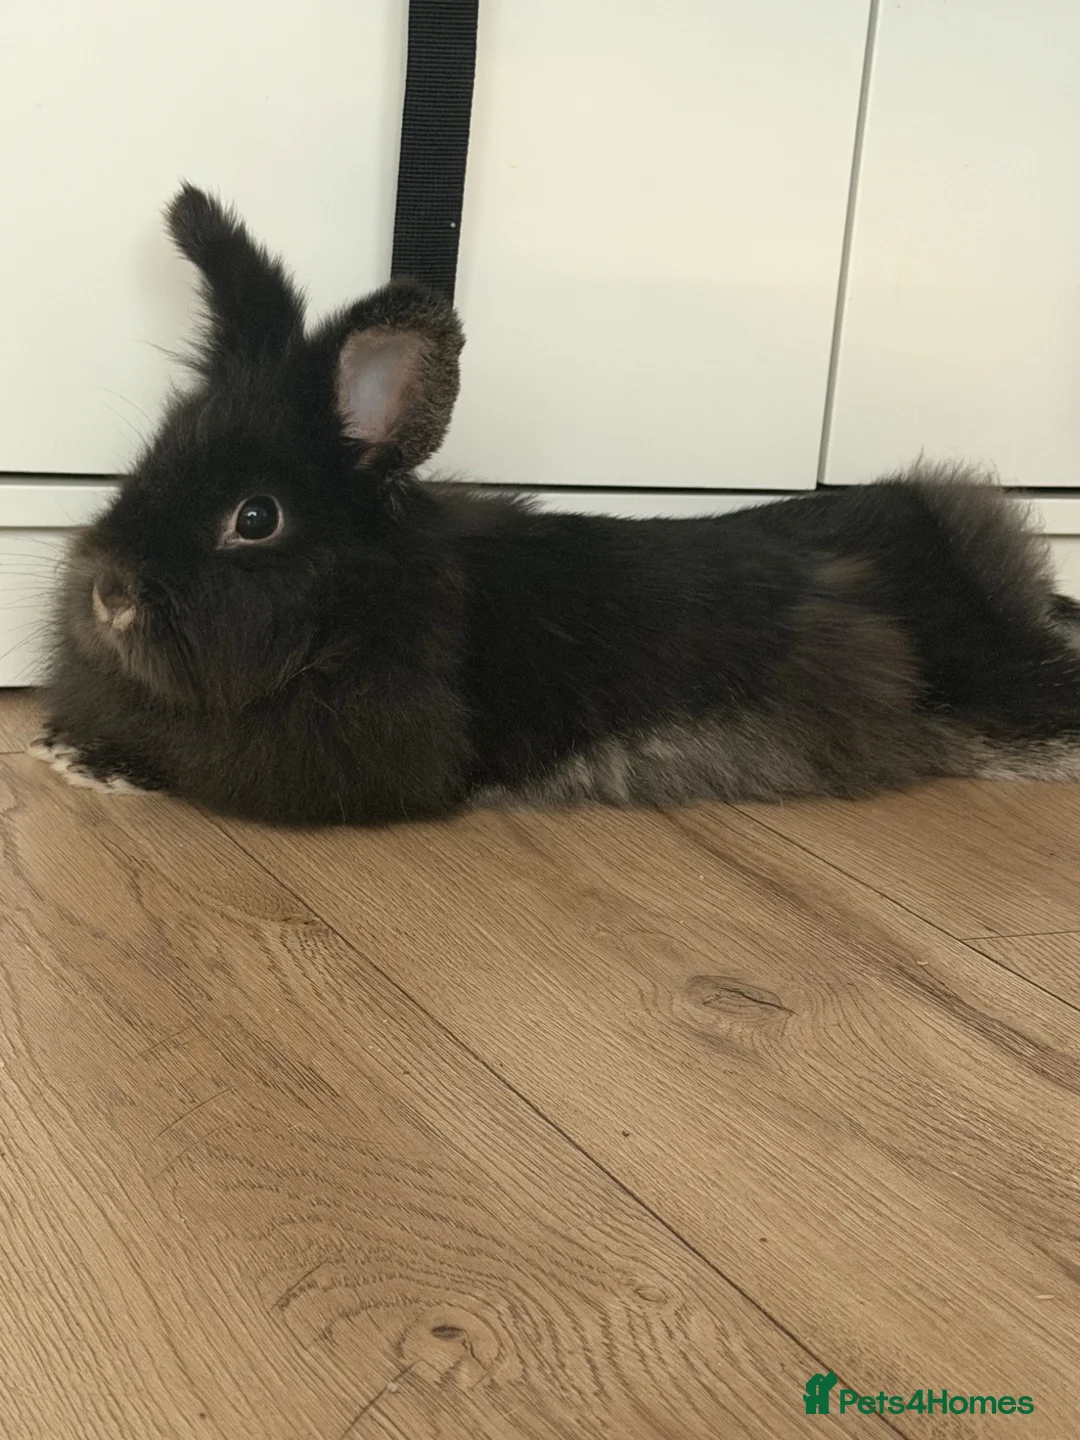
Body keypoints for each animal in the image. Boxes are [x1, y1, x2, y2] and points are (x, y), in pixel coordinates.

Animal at [31, 184, 1080, 825]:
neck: (361, 605)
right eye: (151, 457)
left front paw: (95, 763)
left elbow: (200, 767)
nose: (108, 593)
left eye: (256, 519)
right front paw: (65, 740)